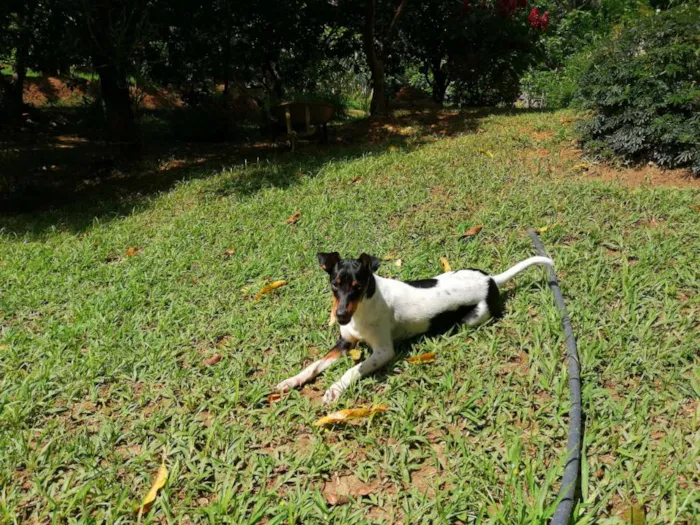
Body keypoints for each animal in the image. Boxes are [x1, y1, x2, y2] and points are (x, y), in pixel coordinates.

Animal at [276, 252, 556, 404]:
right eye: (335, 284)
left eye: (358, 286)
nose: (341, 316)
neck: (364, 307)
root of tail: (491, 280)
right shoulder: (344, 343)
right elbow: (314, 366)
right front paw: (291, 380)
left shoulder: (383, 352)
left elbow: (353, 370)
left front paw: (334, 389)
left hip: (473, 318)